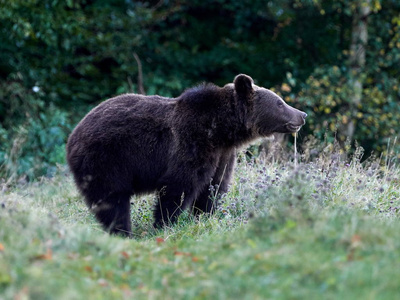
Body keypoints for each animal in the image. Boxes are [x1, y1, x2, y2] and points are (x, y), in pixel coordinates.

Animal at [65, 74, 306, 237]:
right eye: (280, 102)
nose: (302, 114)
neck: (222, 130)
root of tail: (73, 135)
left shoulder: (222, 155)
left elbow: (213, 187)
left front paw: (203, 217)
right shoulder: (191, 144)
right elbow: (179, 187)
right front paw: (165, 225)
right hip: (106, 159)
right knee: (112, 200)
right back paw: (122, 232)